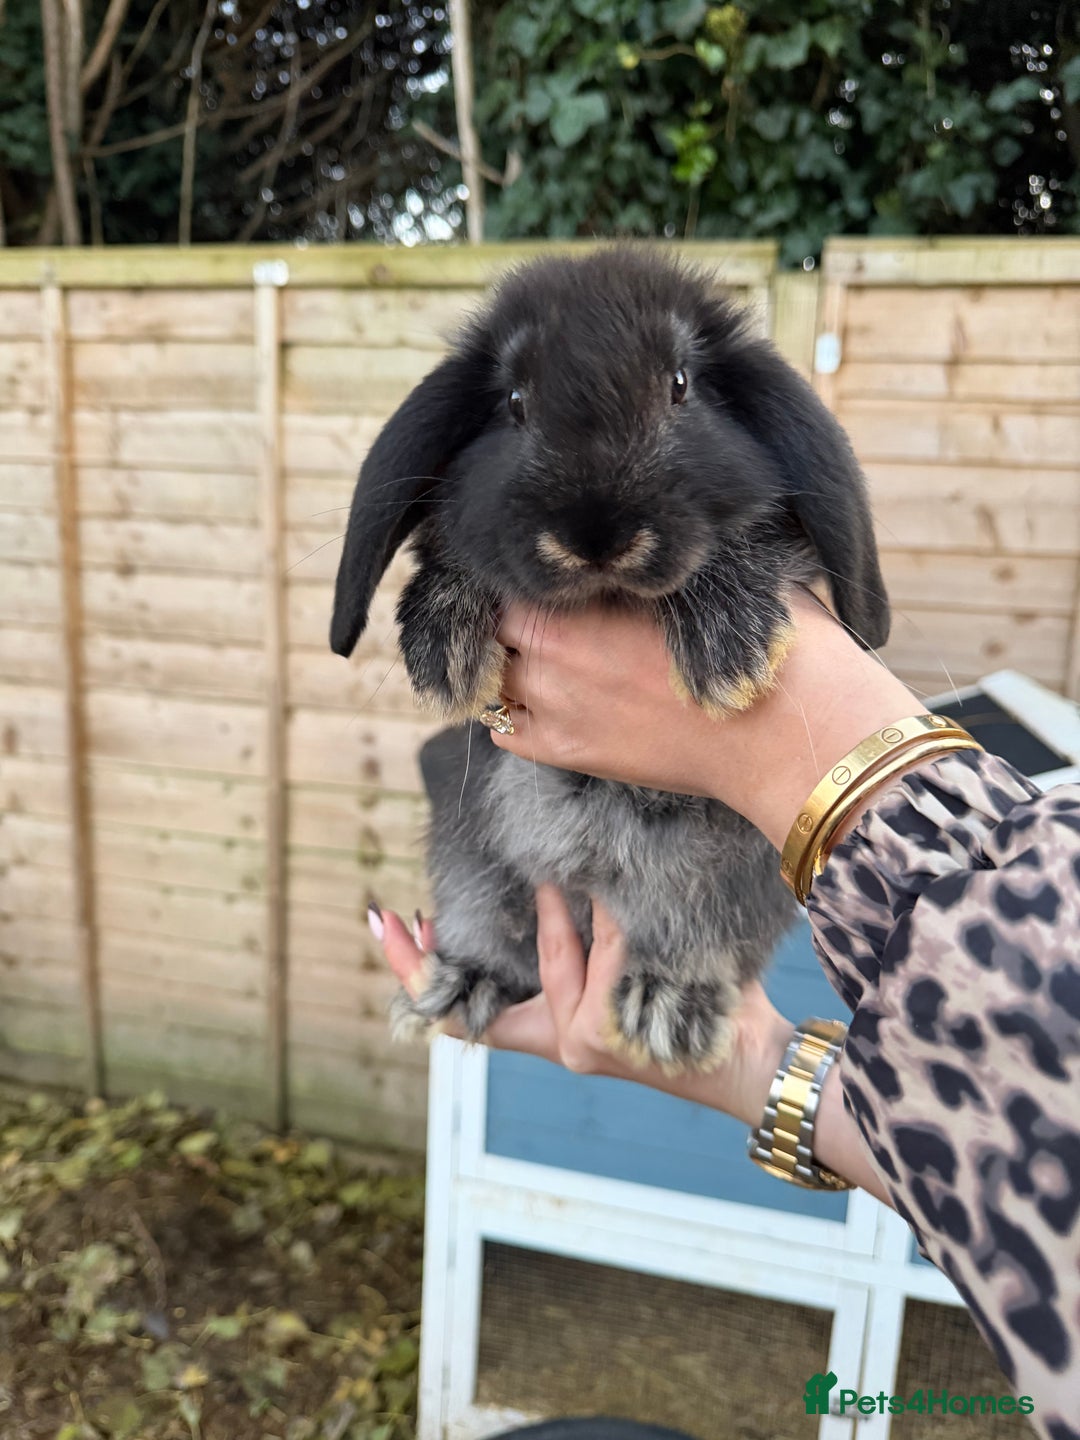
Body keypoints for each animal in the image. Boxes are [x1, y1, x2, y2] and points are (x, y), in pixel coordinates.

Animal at [330, 246, 890, 1071]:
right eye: (515, 401)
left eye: (681, 385)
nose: (595, 533)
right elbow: (456, 552)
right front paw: (440, 648)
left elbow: (744, 543)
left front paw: (731, 645)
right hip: (474, 841)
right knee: (492, 912)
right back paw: (465, 981)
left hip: (741, 867)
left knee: (698, 928)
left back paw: (670, 1007)